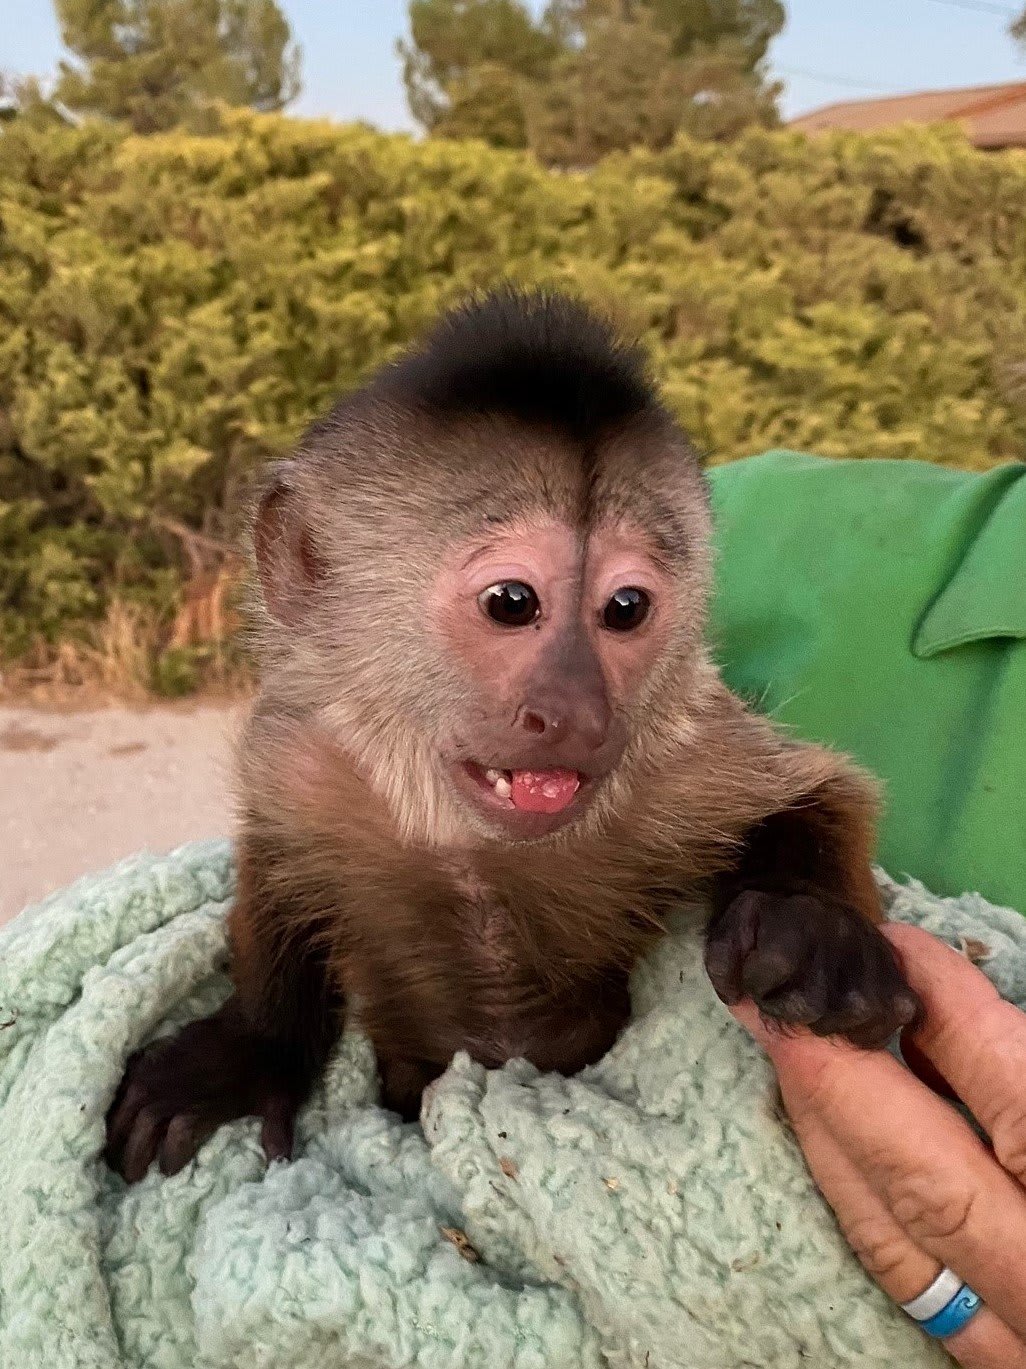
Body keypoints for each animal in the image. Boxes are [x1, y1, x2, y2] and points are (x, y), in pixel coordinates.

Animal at [106, 291, 920, 1188]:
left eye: (626, 609)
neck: (472, 844)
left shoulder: (679, 755)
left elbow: (814, 791)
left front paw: (811, 926)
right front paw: (248, 1049)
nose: (577, 711)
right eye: (511, 601)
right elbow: (280, 865)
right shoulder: (305, 758)